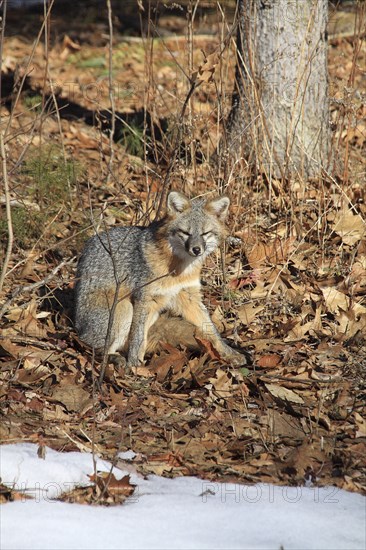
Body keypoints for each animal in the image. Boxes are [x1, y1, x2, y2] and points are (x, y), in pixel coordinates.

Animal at [73, 192, 246, 368]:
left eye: (205, 233)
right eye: (186, 232)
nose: (197, 249)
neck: (178, 270)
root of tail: (78, 327)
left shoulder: (188, 295)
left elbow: (211, 330)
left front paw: (229, 352)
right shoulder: (144, 299)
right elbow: (137, 339)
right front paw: (134, 365)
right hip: (124, 308)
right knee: (95, 348)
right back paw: (115, 359)